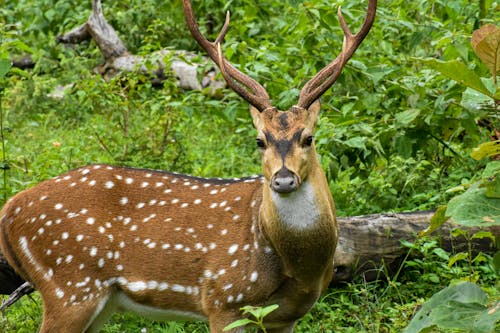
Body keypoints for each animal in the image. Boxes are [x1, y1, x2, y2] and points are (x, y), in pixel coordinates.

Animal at [0, 0, 376, 330]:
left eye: (308, 137)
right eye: (260, 140)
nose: (283, 180)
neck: (298, 266)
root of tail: (8, 210)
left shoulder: (286, 317)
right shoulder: (222, 299)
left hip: (96, 300)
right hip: (69, 285)